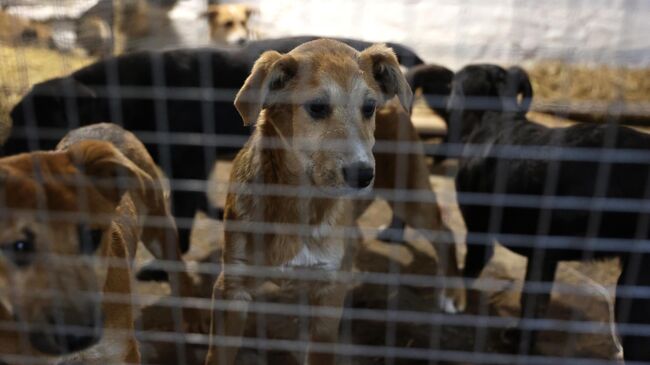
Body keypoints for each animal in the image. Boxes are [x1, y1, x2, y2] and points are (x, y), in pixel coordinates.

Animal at [0, 123, 190, 364]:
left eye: (91, 237)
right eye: (19, 247)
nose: (77, 332)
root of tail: (99, 125)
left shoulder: (121, 351)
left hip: (160, 228)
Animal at [205, 39, 410, 364]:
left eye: (369, 108)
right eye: (317, 107)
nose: (364, 175)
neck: (298, 203)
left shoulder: (328, 295)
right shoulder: (231, 288)